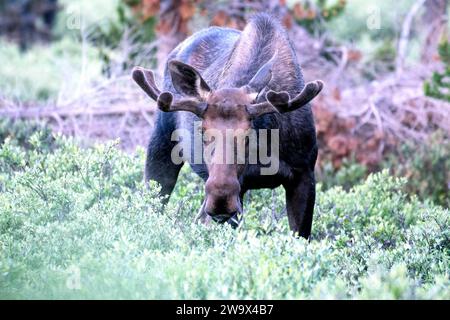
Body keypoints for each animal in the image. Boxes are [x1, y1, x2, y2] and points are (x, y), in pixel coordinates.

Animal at [133, 13, 324, 239]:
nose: (220, 202)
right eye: (202, 131)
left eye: (248, 135)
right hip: (162, 145)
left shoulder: (303, 174)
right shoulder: (236, 187)